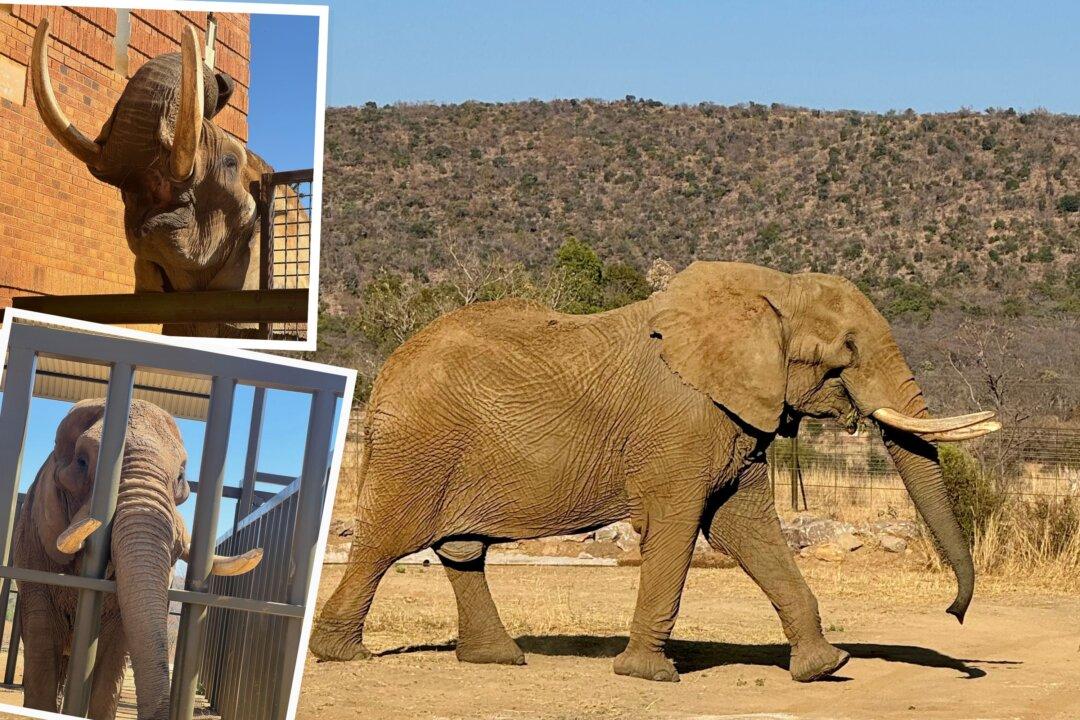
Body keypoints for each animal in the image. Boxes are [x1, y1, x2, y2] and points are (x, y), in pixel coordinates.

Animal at [308, 261, 1000, 684]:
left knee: (461, 549)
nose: (955, 614)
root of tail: (388, 369)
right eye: (848, 350)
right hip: (419, 445)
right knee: (387, 541)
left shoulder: (733, 421)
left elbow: (748, 529)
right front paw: (650, 673)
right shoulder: (682, 424)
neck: (767, 291)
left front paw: (824, 667)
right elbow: (677, 525)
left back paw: (500, 659)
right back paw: (340, 654)